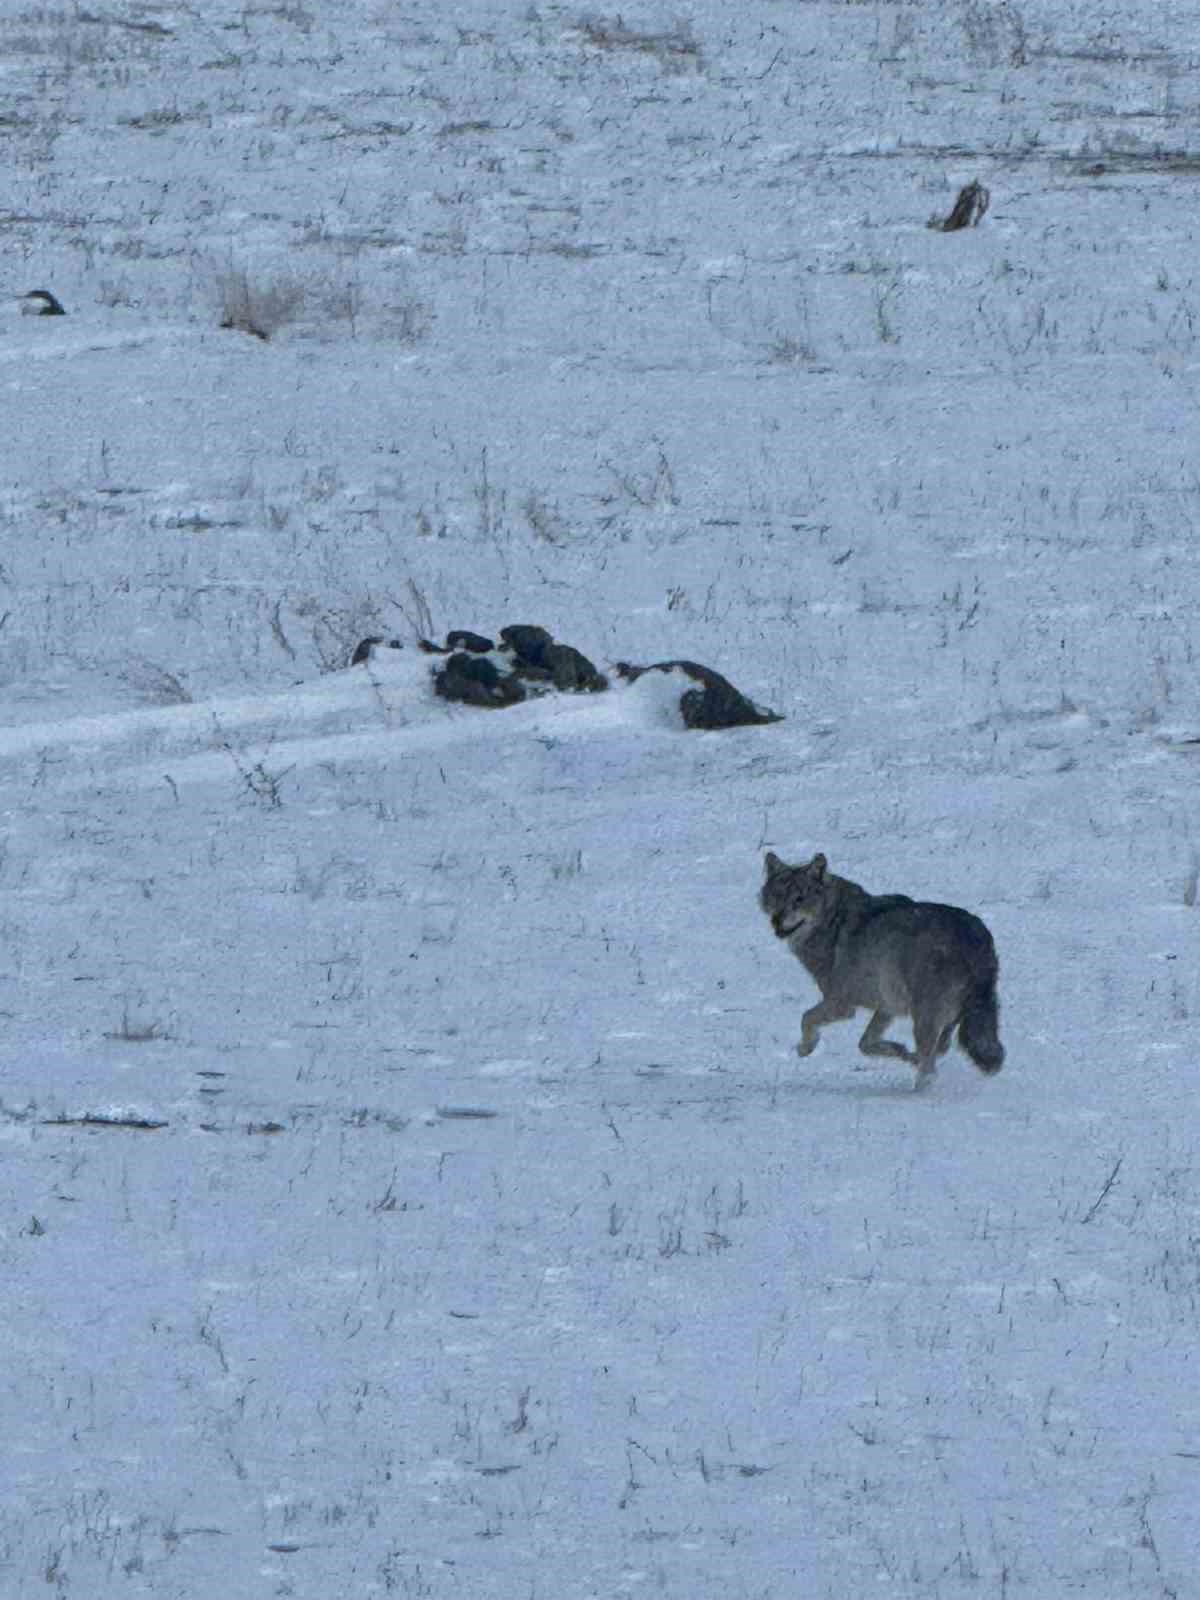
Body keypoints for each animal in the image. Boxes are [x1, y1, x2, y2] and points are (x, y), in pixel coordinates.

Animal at [761, 851, 1004, 1088]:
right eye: (776, 896)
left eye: (799, 899)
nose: (776, 920)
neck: (833, 920)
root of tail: (976, 938)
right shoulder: (887, 1006)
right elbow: (865, 1044)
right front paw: (901, 1051)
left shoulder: (841, 1005)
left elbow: (806, 1018)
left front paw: (806, 1047)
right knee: (940, 1049)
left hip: (924, 1017)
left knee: (929, 1070)